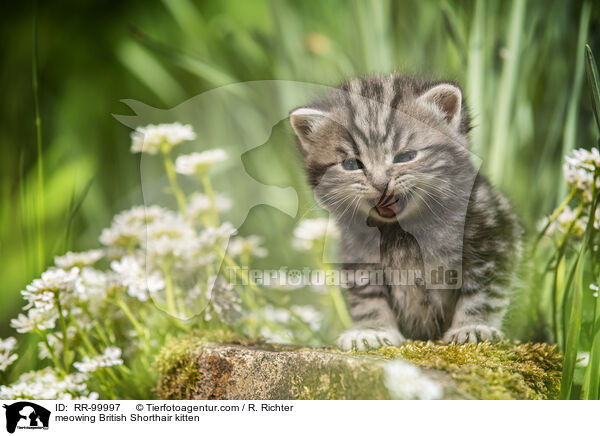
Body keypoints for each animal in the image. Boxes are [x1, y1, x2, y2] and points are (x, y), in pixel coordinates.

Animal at [290, 73, 520, 350]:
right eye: (352, 164)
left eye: (405, 157)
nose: (380, 184)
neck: (400, 232)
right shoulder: (358, 255)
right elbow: (368, 295)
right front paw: (371, 330)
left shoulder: (493, 237)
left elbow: (482, 292)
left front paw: (473, 327)